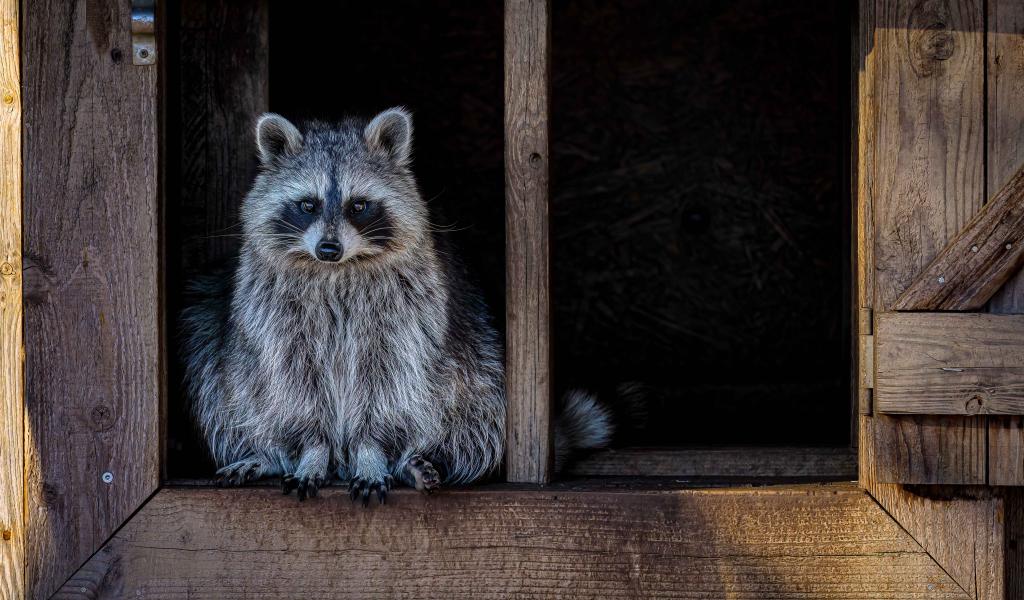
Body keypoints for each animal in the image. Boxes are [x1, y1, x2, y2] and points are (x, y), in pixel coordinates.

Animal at [182, 106, 614, 499]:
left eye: (358, 205)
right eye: (308, 204)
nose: (328, 249)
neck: (339, 269)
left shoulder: (406, 314)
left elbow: (389, 381)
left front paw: (371, 452)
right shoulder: (276, 315)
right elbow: (295, 383)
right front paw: (311, 450)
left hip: (479, 367)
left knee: (478, 409)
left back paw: (413, 461)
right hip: (213, 331)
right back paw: (267, 455)